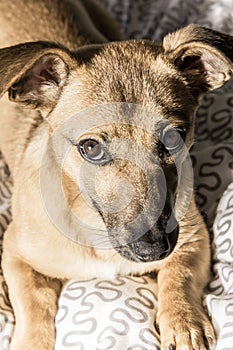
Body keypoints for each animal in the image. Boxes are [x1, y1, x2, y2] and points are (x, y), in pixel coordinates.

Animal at [0, 0, 232, 350]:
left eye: (175, 137)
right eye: (90, 148)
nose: (153, 250)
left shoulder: (193, 237)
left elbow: (180, 277)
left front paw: (184, 324)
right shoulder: (15, 254)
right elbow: (34, 303)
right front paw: (31, 341)